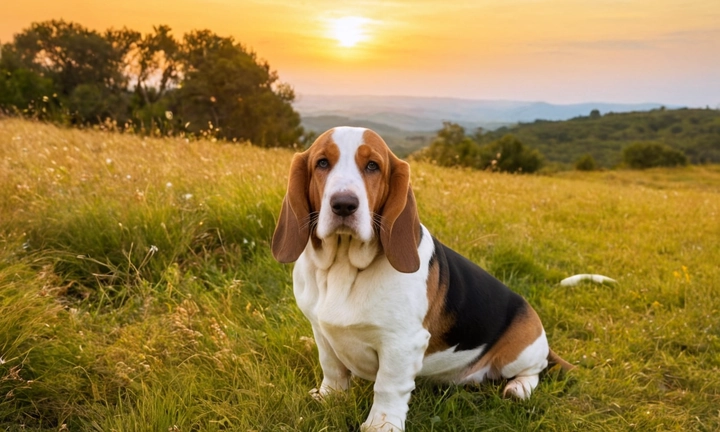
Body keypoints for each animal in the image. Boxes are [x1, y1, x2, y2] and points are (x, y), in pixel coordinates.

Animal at [272, 126, 572, 430]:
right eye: (322, 163)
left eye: (373, 166)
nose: (344, 205)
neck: (343, 265)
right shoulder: (321, 331)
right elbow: (332, 368)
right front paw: (329, 398)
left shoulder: (402, 342)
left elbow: (388, 386)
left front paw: (381, 425)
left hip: (518, 355)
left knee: (535, 370)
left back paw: (518, 388)